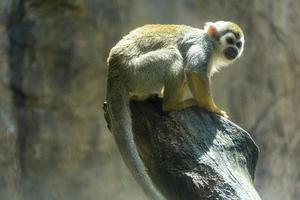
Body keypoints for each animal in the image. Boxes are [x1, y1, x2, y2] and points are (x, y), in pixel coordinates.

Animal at [106, 21, 245, 199]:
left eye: (239, 44)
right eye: (230, 41)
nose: (234, 50)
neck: (213, 45)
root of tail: (114, 68)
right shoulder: (203, 46)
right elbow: (194, 71)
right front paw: (212, 107)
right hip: (137, 72)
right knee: (173, 56)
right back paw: (172, 104)